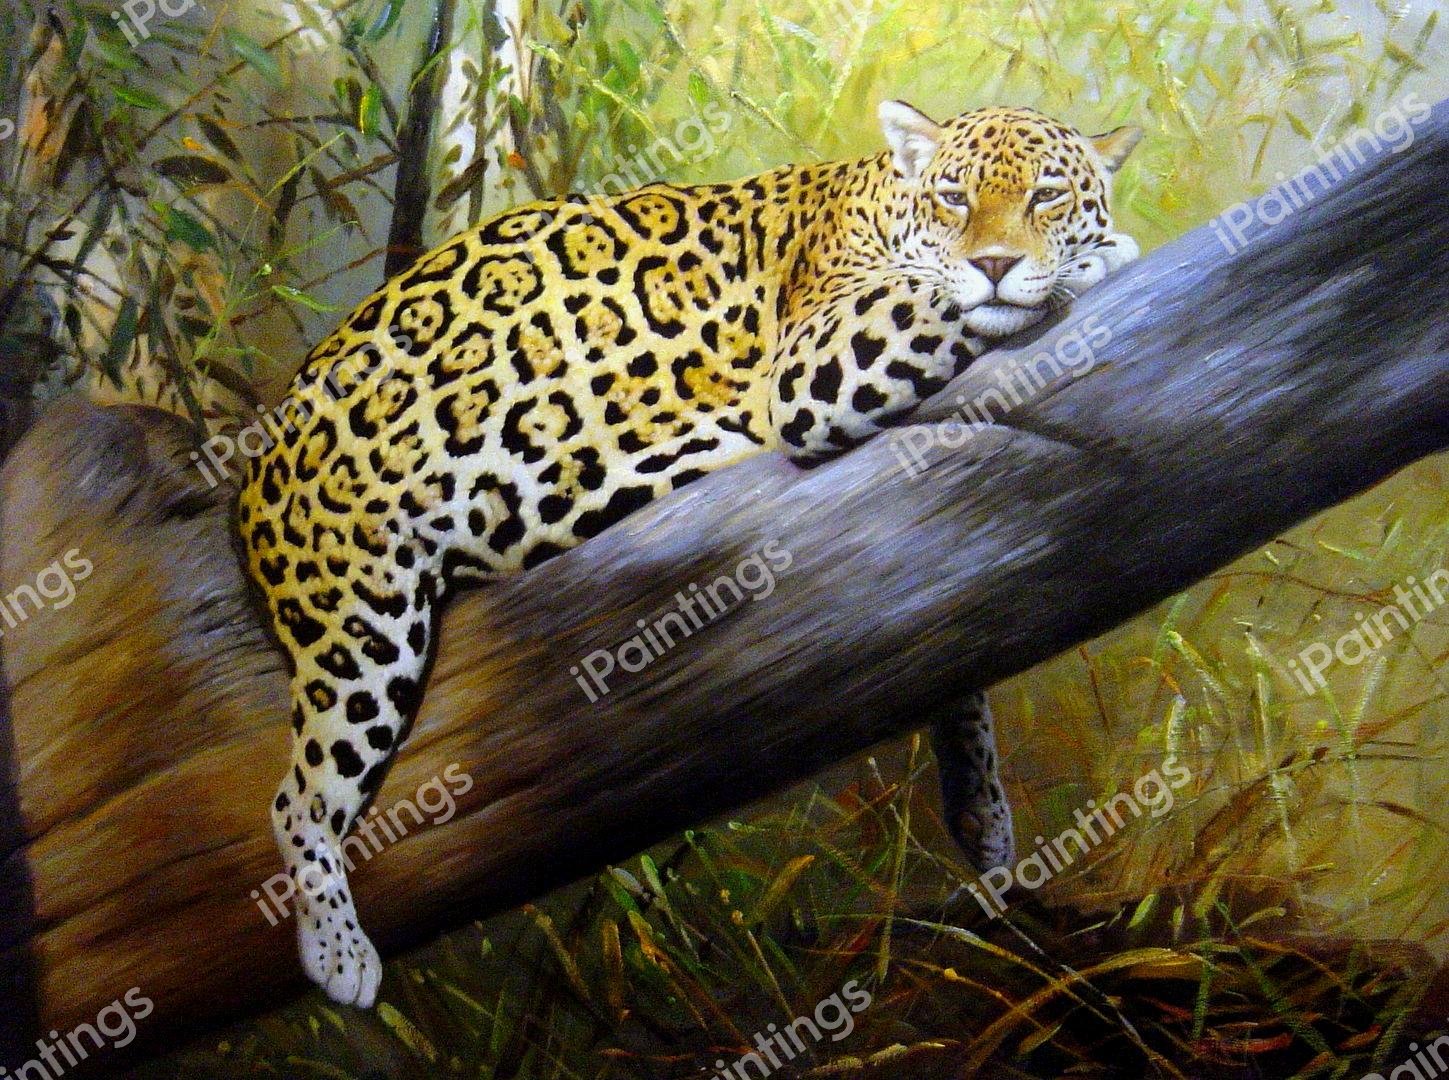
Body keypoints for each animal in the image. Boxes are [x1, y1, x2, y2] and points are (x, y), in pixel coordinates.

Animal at [236, 99, 1141, 1006]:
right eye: (954, 197)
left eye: (1046, 194)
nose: (994, 263)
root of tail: (256, 449)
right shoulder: (812, 365)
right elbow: (933, 298)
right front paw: (1098, 257)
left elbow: (960, 668)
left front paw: (983, 819)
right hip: (363, 621)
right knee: (296, 797)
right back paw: (340, 953)